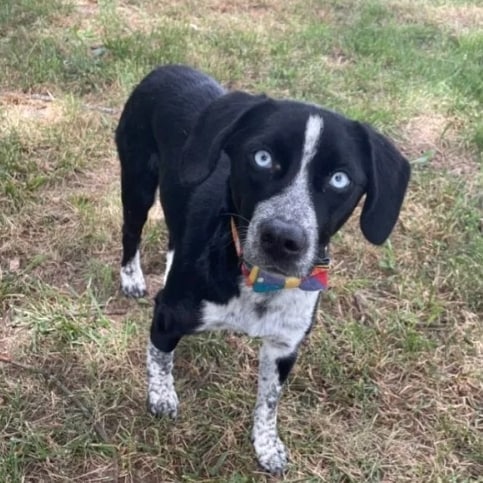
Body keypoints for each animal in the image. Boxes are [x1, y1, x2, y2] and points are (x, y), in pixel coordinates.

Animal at [115, 62, 410, 474]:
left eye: (340, 179)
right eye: (262, 158)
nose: (282, 237)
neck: (258, 282)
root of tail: (168, 67)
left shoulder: (285, 347)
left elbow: (268, 403)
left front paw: (267, 446)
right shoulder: (168, 317)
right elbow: (159, 358)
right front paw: (161, 396)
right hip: (137, 182)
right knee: (131, 232)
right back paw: (131, 277)